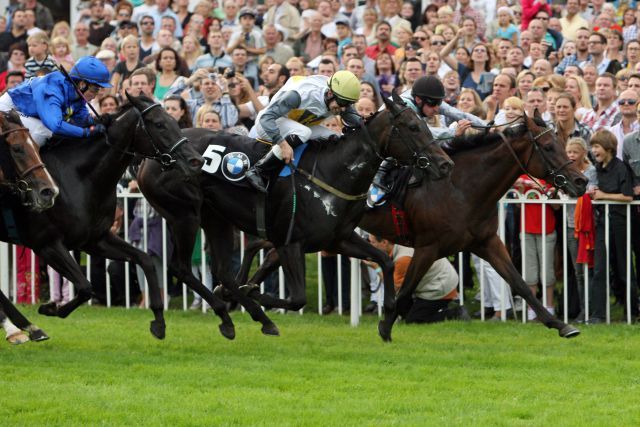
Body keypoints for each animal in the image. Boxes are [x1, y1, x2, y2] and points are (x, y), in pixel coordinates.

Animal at [0, 93, 202, 342]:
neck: (80, 178)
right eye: (159, 124)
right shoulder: (46, 244)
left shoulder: (94, 239)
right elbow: (85, 287)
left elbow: (144, 259)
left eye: (175, 121)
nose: (196, 161)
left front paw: (158, 321)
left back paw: (23, 328)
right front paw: (50, 308)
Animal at [236, 113, 592, 342]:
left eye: (564, 142)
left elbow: (519, 283)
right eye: (548, 147)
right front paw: (385, 326)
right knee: (261, 249)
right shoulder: (428, 247)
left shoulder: (486, 241)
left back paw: (247, 300)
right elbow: (406, 291)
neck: (461, 186)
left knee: (266, 255)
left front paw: (561, 324)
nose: (580, 181)